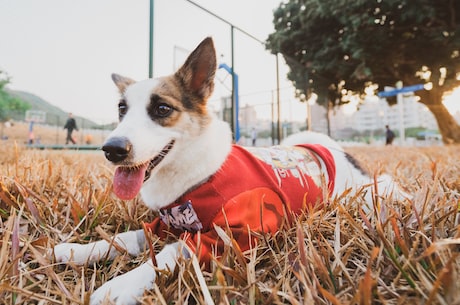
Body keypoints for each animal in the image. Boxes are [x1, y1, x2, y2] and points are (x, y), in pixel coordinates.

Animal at [54, 36, 406, 302]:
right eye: (121, 110)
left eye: (163, 109)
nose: (112, 149)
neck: (194, 171)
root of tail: (329, 150)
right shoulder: (165, 224)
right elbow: (128, 237)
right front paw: (80, 250)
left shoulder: (235, 233)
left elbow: (171, 253)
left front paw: (121, 285)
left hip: (360, 195)